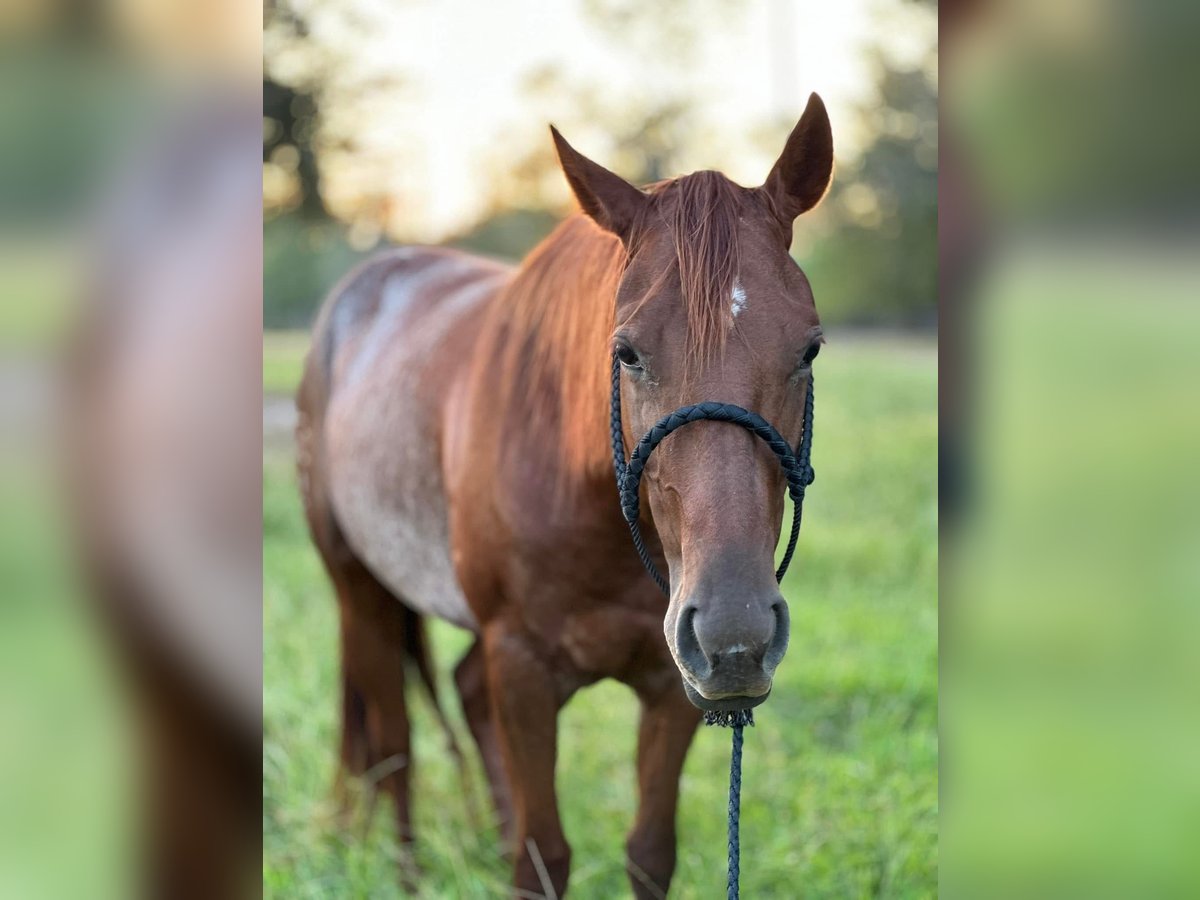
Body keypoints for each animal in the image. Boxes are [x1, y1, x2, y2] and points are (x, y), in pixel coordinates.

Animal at [295, 91, 830, 897]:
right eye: (627, 352)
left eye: (809, 348)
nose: (735, 635)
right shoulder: (521, 666)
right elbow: (542, 855)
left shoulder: (671, 681)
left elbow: (648, 852)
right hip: (359, 590)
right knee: (393, 745)